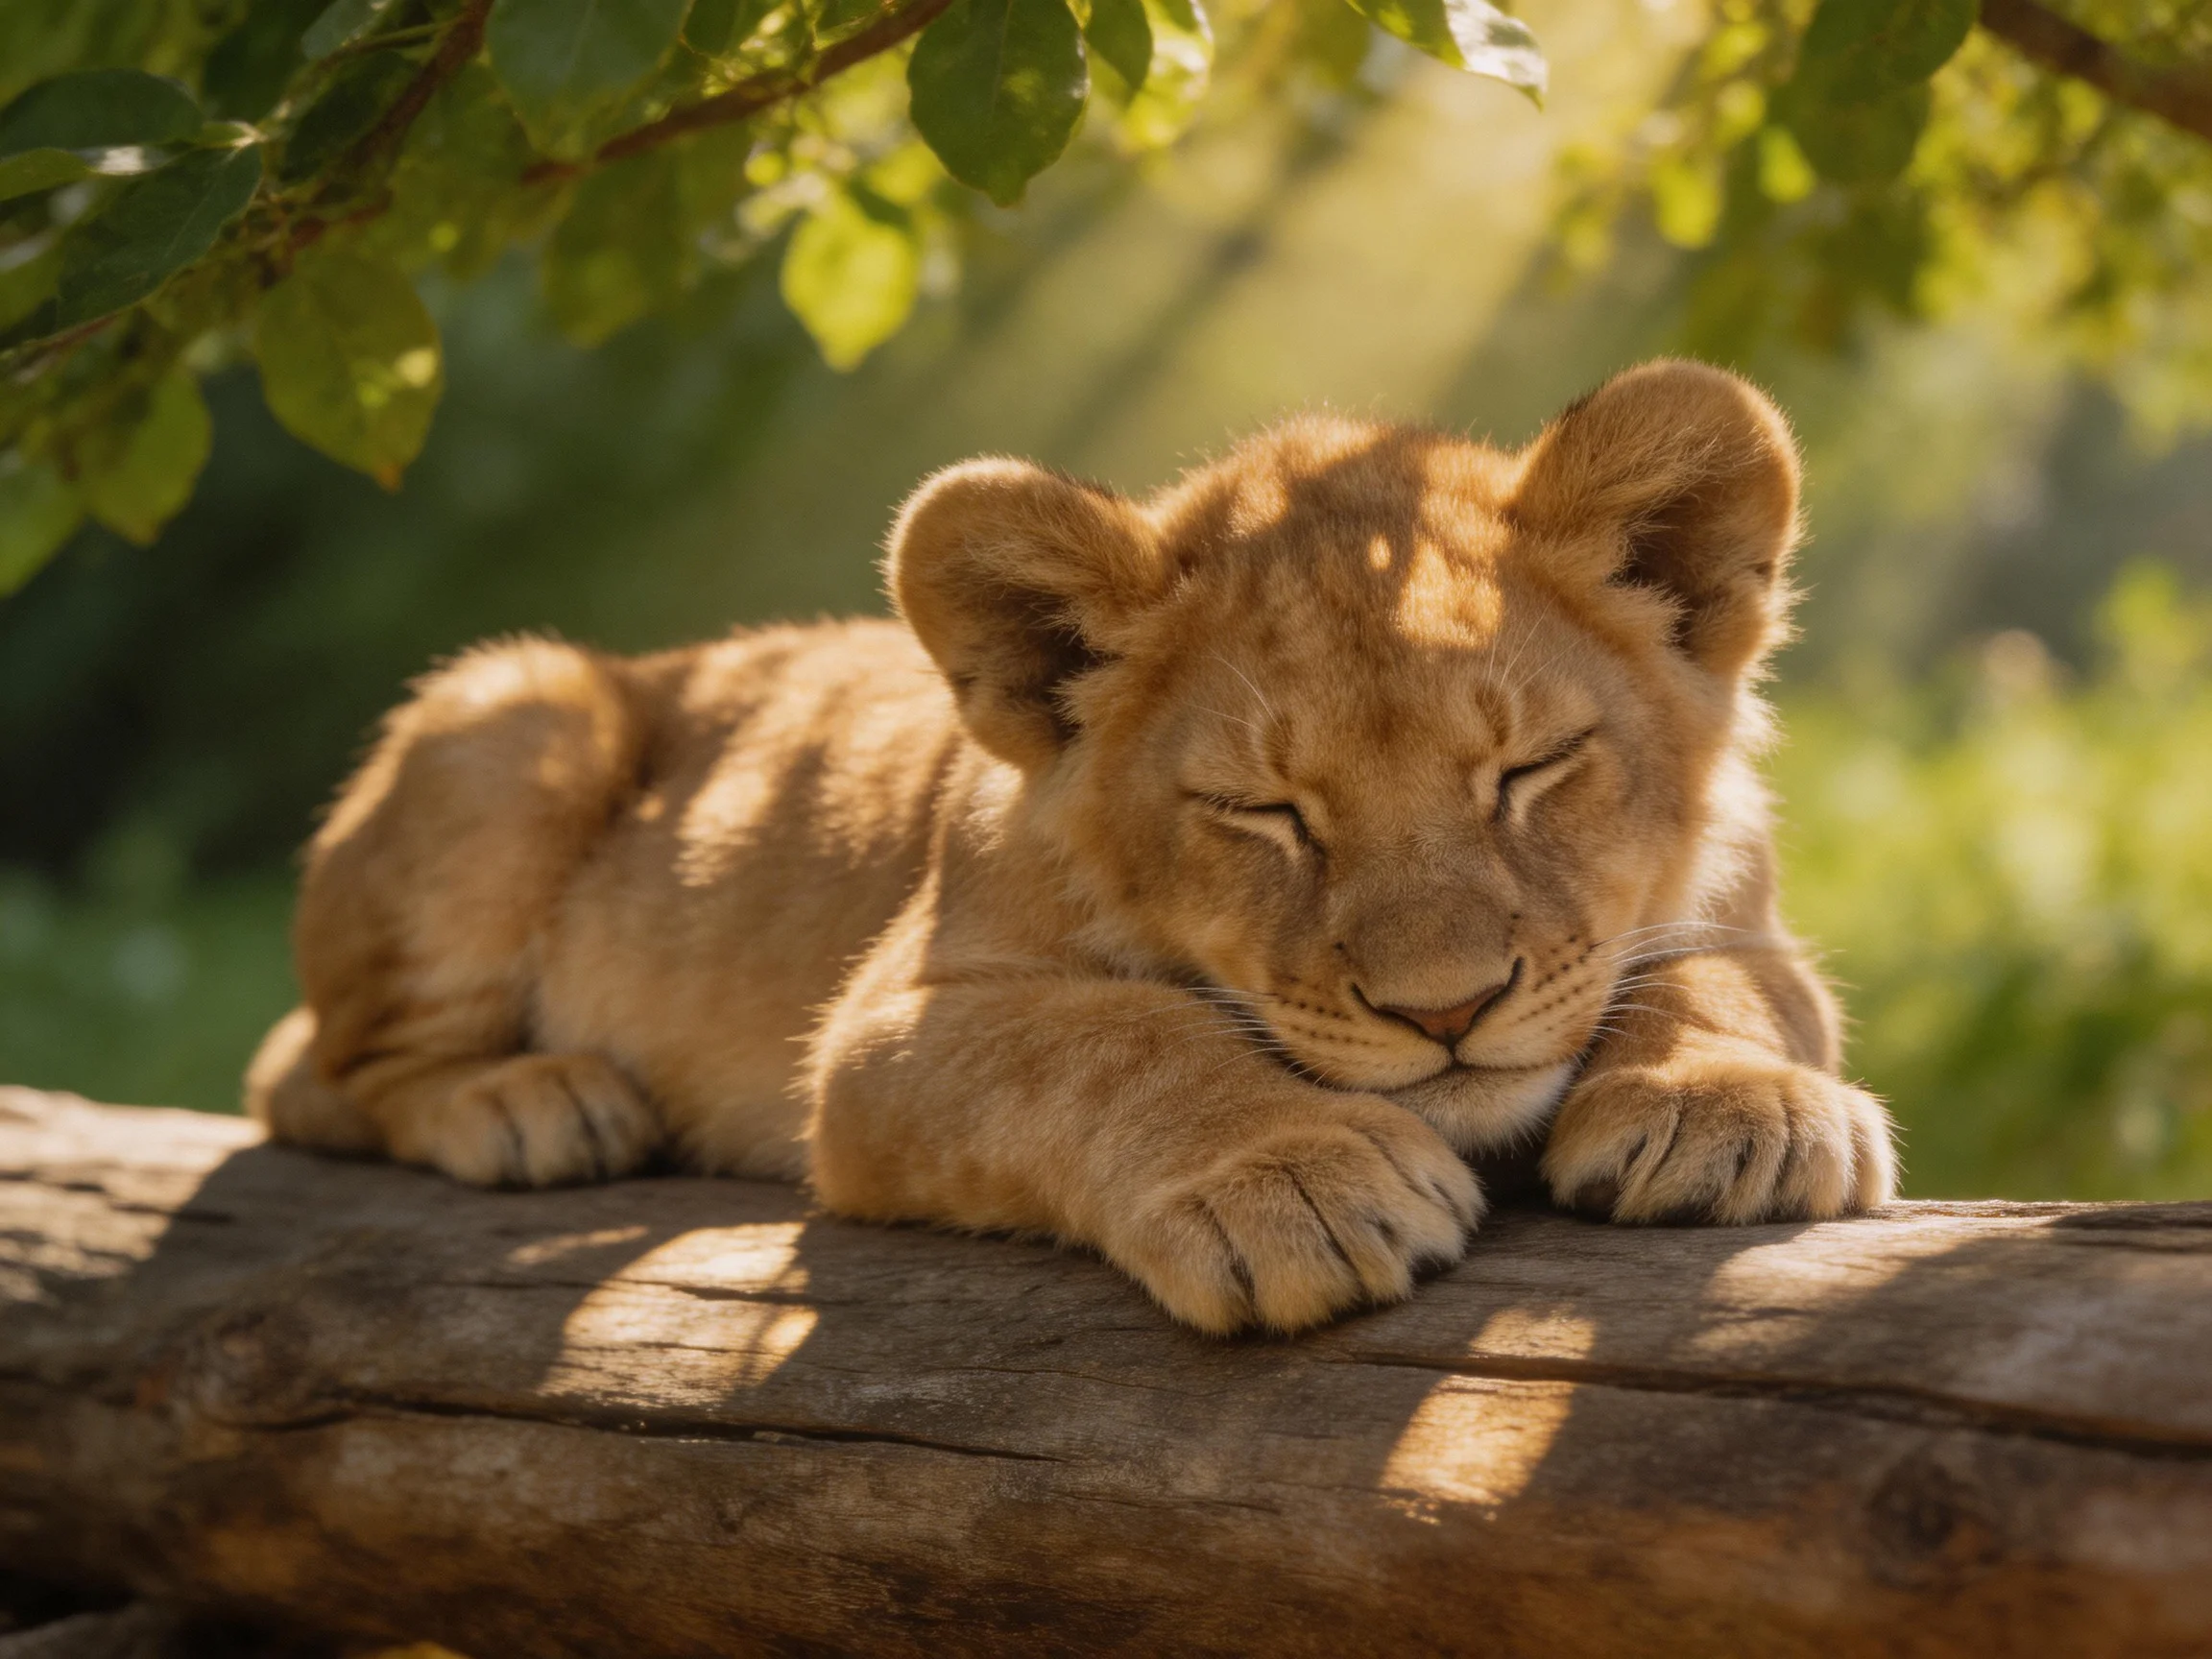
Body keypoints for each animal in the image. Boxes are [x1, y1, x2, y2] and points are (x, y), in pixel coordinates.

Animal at [246, 359, 1895, 1334]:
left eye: (1531, 771)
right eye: (1263, 812)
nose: (1446, 1014)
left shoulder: (1749, 922)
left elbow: (1721, 980)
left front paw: (1727, 1106)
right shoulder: (884, 1034)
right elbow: (1118, 1040)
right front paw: (1294, 1182)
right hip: (513, 704)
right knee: (318, 1075)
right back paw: (532, 1102)